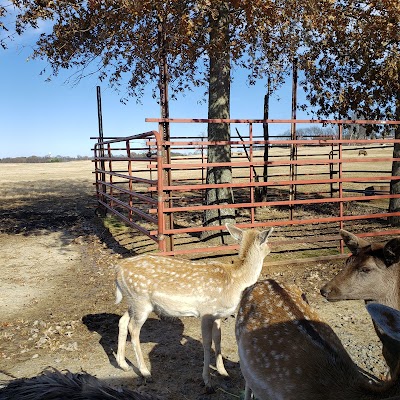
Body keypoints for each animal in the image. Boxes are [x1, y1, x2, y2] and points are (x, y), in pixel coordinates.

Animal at [114, 223, 274, 390]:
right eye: (267, 239)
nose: (270, 248)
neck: (236, 281)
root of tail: (118, 269)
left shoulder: (218, 315)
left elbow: (218, 339)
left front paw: (224, 372)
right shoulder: (206, 312)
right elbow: (207, 343)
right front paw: (207, 380)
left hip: (134, 302)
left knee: (122, 321)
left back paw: (123, 364)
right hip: (140, 301)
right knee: (133, 329)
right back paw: (145, 372)